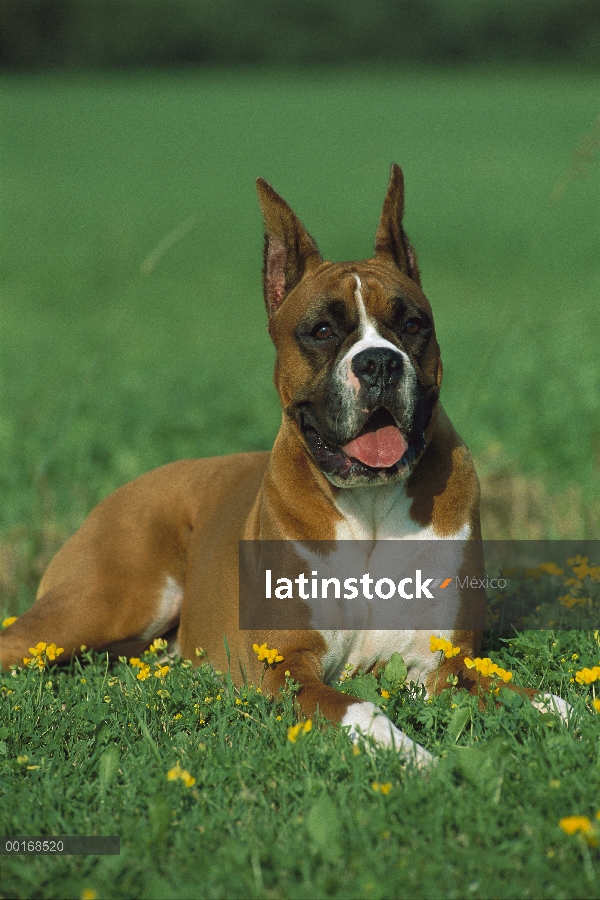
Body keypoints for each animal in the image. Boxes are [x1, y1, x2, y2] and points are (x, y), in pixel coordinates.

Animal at [0, 165, 564, 764]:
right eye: (322, 331)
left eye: (412, 325)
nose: (379, 362)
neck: (368, 505)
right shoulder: (287, 669)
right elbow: (364, 709)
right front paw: (419, 760)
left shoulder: (442, 664)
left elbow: (536, 696)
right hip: (102, 604)